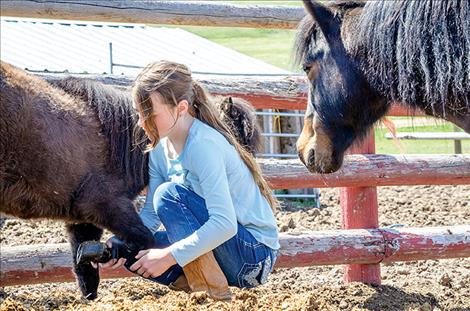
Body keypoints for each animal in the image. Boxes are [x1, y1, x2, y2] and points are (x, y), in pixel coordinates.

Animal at [0, 62, 260, 300]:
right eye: (233, 143)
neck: (114, 139)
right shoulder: (109, 207)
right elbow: (145, 238)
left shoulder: (82, 219)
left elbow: (84, 271)